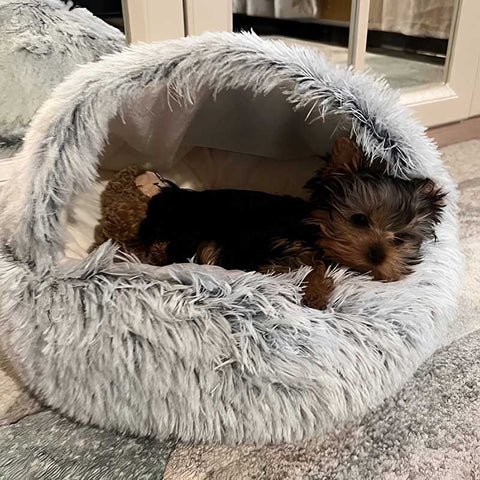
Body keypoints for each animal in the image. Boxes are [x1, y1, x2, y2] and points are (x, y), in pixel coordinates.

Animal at [139, 138, 446, 309]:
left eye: (400, 238)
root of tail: (176, 196)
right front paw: (316, 295)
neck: (313, 229)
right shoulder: (271, 248)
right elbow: (311, 265)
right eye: (359, 219)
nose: (378, 256)